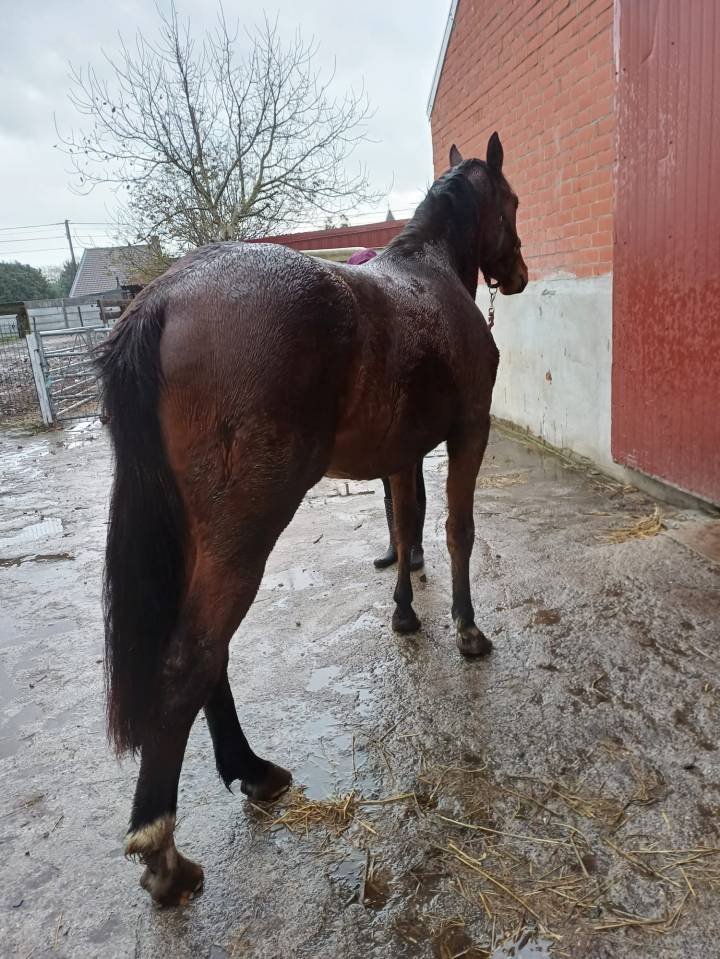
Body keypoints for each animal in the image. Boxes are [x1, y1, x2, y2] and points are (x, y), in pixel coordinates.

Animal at [98, 132, 527, 905]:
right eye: (510, 202)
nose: (519, 273)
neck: (429, 276)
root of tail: (165, 297)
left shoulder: (400, 454)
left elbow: (404, 527)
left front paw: (405, 614)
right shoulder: (468, 435)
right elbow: (456, 532)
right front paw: (467, 630)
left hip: (202, 538)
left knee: (210, 656)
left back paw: (253, 770)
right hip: (242, 533)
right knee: (191, 657)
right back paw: (163, 851)